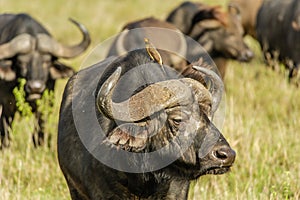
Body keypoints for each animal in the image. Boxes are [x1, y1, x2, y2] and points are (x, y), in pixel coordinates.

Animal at [0, 13, 90, 148]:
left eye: (46, 62)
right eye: (21, 63)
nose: (35, 88)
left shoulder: (46, 104)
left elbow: (40, 130)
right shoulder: (7, 105)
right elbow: (6, 130)